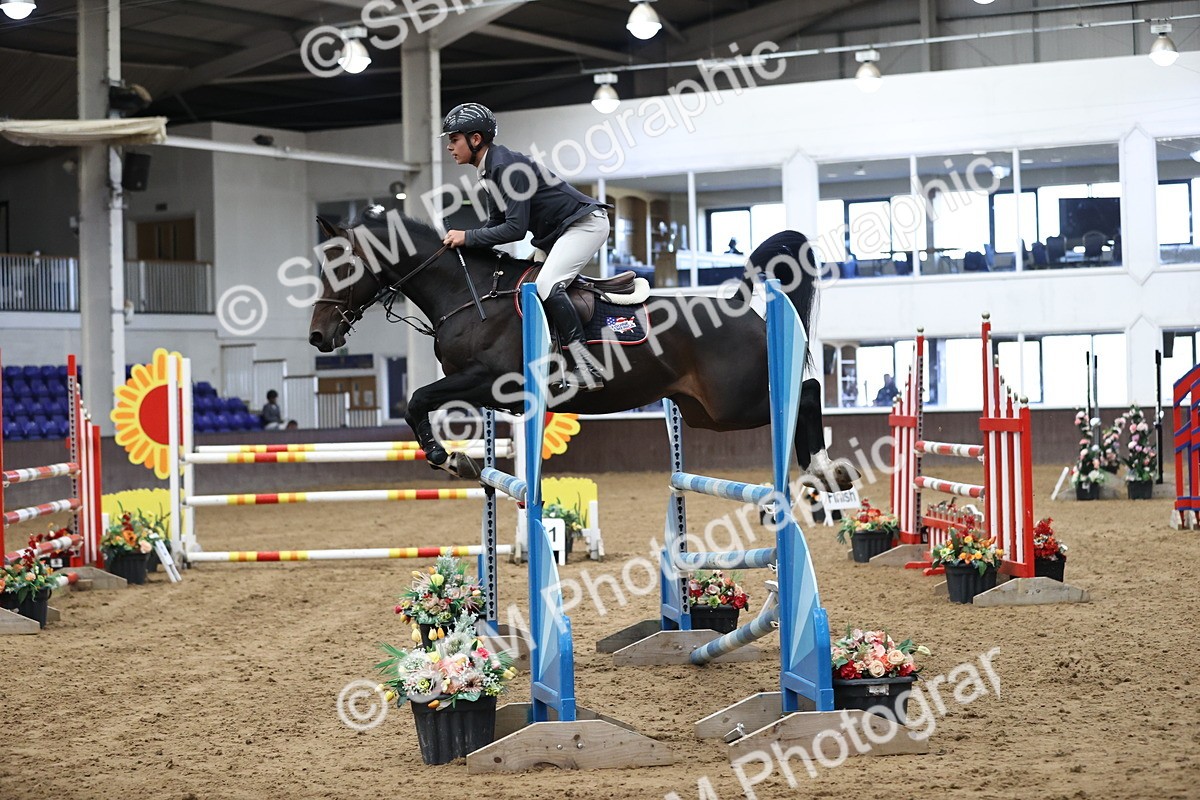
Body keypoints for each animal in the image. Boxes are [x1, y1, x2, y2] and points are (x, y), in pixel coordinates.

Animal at [308, 211, 852, 490]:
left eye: (342, 268)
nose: (318, 336)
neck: (470, 292)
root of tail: (740, 305)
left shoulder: (490, 379)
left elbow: (416, 399)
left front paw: (446, 457)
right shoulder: (484, 391)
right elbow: (423, 402)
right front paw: (458, 459)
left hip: (735, 402)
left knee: (804, 392)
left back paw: (825, 470)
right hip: (707, 414)